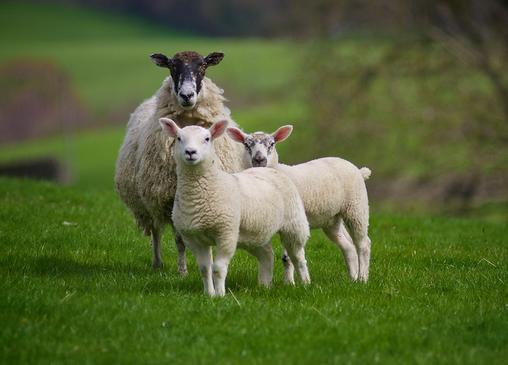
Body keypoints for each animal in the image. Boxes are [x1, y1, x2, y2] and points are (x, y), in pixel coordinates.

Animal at [115, 51, 250, 272]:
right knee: (155, 232)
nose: (187, 95)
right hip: (149, 201)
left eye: (203, 66)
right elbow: (179, 241)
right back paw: (157, 263)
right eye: (172, 66)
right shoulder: (169, 199)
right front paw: (182, 271)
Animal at [159, 119, 312, 296]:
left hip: (294, 224)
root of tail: (268, 169)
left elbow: (218, 268)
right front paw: (209, 295)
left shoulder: (226, 233)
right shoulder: (194, 238)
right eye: (179, 138)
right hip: (255, 233)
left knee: (298, 256)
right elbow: (204, 269)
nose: (190, 152)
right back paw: (265, 285)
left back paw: (305, 283)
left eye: (207, 139)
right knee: (267, 255)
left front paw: (220, 295)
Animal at [226, 124, 374, 282]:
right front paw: (288, 282)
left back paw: (362, 279)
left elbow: (288, 257)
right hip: (331, 219)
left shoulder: (292, 220)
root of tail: (359, 170)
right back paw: (353, 278)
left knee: (363, 244)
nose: (259, 159)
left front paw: (290, 283)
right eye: (247, 144)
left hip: (356, 207)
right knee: (348, 246)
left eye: (272, 144)